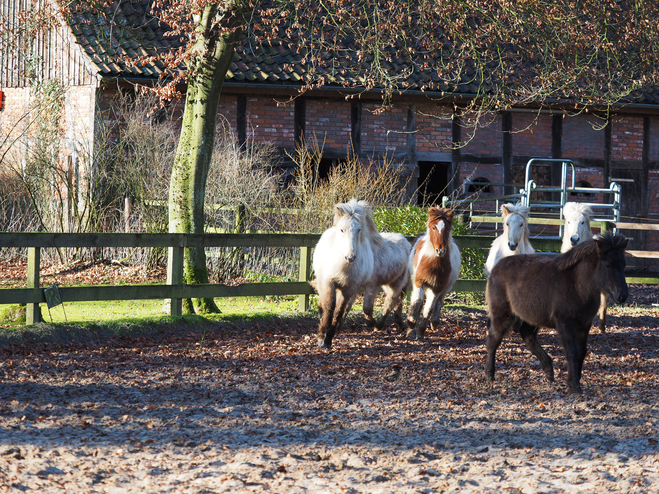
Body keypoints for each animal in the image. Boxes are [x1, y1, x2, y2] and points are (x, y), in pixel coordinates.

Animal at [314, 199, 376, 350]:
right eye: (342, 229)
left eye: (359, 230)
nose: (350, 257)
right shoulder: (328, 283)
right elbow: (329, 307)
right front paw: (322, 334)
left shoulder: (348, 288)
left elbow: (339, 312)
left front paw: (328, 338)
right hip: (322, 282)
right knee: (322, 303)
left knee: (344, 309)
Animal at [408, 207, 464, 340]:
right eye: (434, 227)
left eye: (447, 228)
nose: (440, 250)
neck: (432, 263)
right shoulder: (419, 281)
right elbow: (417, 302)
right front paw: (411, 324)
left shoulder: (437, 287)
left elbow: (428, 308)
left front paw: (421, 332)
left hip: (446, 287)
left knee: (438, 302)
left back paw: (434, 323)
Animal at [484, 233, 628, 394]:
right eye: (608, 264)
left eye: (624, 264)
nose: (622, 296)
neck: (576, 285)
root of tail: (495, 269)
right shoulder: (564, 323)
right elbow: (571, 351)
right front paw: (574, 385)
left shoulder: (584, 324)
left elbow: (581, 352)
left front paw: (575, 380)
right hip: (502, 313)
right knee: (493, 340)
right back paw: (490, 376)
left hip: (532, 316)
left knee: (527, 335)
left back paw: (549, 372)